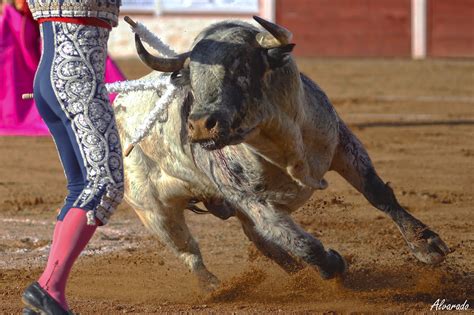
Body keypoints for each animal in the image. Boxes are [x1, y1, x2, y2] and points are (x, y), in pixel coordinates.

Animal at [113, 16, 450, 290]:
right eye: (192, 77)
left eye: (241, 67)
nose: (199, 125)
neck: (280, 141)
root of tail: (117, 103)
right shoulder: (254, 201)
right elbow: (300, 242)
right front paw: (334, 264)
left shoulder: (342, 143)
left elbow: (378, 193)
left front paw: (427, 246)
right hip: (152, 209)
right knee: (189, 251)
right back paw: (216, 289)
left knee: (260, 242)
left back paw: (296, 275)